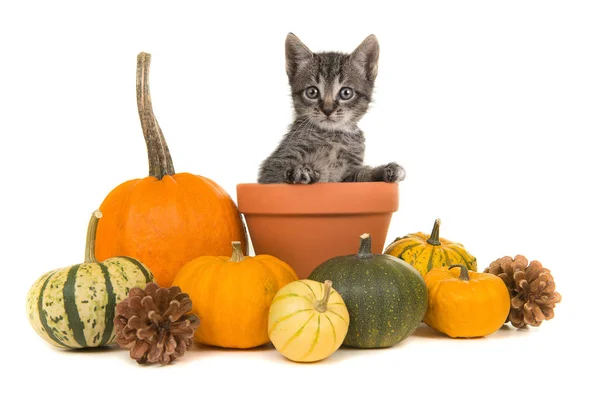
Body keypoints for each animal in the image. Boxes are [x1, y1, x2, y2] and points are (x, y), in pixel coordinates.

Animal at [255, 34, 406, 184]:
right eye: (312, 92)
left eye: (346, 93)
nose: (327, 110)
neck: (333, 136)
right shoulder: (271, 170)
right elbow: (278, 176)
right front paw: (300, 170)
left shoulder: (347, 175)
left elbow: (362, 176)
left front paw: (384, 170)